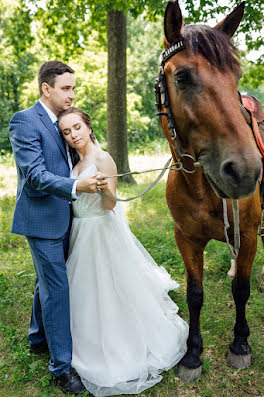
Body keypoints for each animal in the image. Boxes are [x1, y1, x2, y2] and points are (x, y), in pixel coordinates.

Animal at [156, 0, 262, 380]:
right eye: (183, 77)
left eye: (235, 76)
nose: (245, 171)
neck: (203, 188)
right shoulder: (185, 238)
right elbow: (195, 294)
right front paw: (192, 353)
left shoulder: (248, 235)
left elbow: (241, 290)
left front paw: (240, 344)